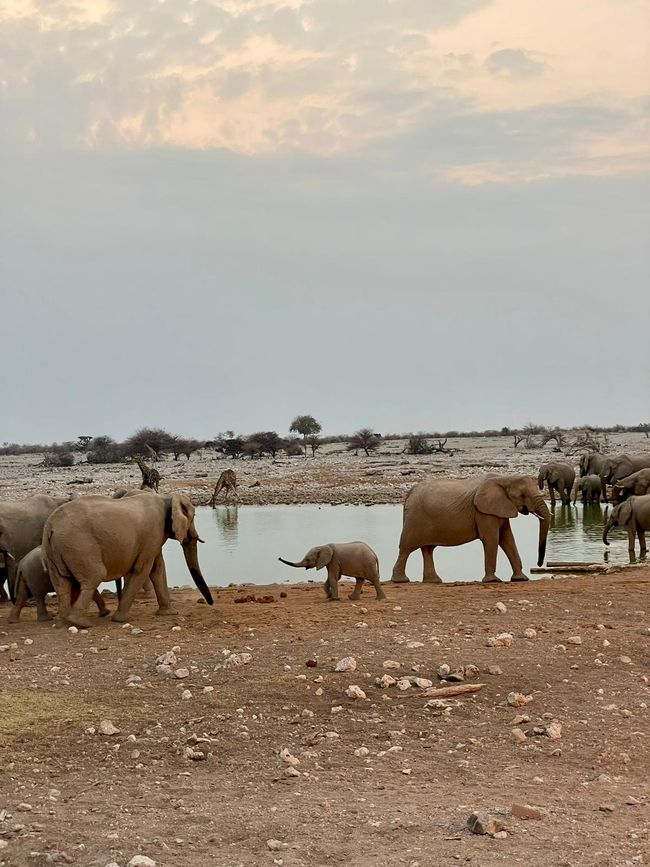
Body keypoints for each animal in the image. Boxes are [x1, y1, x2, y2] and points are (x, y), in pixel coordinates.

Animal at [41, 492, 213, 628]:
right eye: (193, 517)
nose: (210, 603)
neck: (166, 497)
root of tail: (50, 526)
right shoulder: (153, 533)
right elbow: (143, 569)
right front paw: (120, 620)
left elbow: (157, 568)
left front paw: (169, 613)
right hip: (79, 546)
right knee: (94, 576)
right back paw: (81, 623)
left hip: (55, 551)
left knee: (61, 583)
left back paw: (64, 623)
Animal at [388, 474, 548, 584]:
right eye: (522, 495)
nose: (539, 564)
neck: (505, 478)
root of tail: (410, 493)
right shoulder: (483, 511)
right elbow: (492, 538)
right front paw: (492, 581)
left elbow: (507, 538)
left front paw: (521, 579)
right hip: (414, 519)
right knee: (406, 548)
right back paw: (401, 580)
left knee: (428, 549)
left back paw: (434, 581)